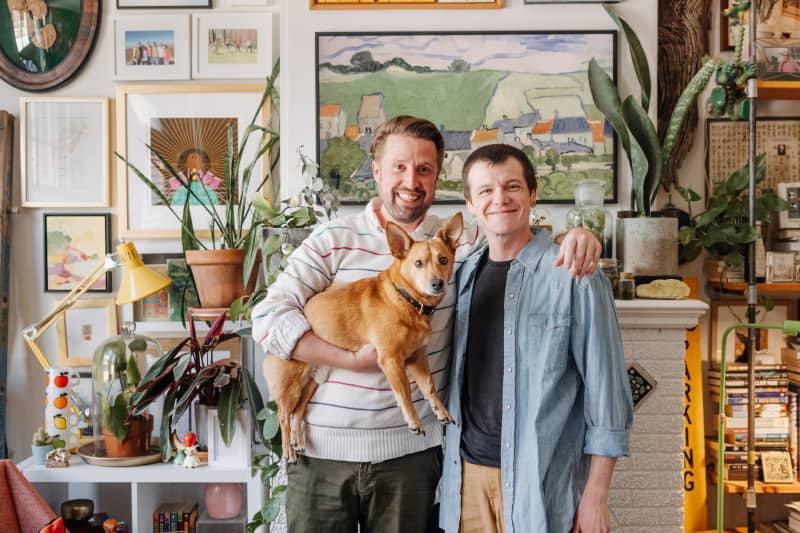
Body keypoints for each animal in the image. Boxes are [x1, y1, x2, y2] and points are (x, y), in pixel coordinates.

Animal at [262, 212, 462, 462]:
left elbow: (429, 387)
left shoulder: (416, 357)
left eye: (443, 260)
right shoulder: (391, 360)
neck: (405, 300)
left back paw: (298, 441)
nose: (437, 284)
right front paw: (413, 422)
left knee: (298, 411)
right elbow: (405, 393)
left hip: (314, 381)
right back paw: (288, 450)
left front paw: (440, 411)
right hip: (289, 387)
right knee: (283, 416)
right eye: (418, 263)